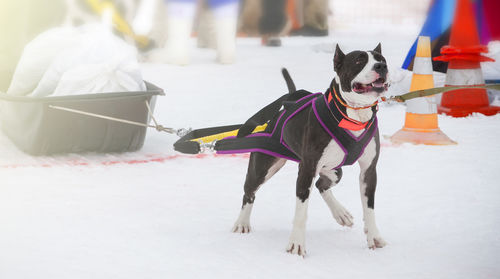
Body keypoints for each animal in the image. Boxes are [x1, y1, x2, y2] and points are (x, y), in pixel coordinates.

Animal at [232, 44, 388, 258]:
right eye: (359, 60)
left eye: (382, 59)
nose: (381, 67)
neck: (354, 115)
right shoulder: (306, 170)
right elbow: (301, 211)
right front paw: (296, 244)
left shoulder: (369, 171)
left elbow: (369, 207)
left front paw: (374, 237)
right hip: (263, 168)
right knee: (249, 192)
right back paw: (242, 222)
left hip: (334, 171)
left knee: (322, 184)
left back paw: (341, 213)